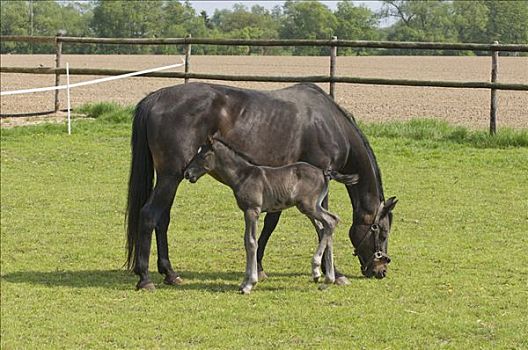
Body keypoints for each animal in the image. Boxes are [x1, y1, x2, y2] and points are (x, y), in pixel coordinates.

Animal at [183, 138, 358, 294]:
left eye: (203, 155)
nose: (187, 173)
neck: (242, 176)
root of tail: (324, 172)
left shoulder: (252, 211)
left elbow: (251, 242)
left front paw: (249, 284)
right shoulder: (248, 212)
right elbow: (247, 241)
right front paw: (244, 283)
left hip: (309, 207)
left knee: (331, 221)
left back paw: (321, 272)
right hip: (312, 208)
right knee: (325, 227)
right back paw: (324, 277)